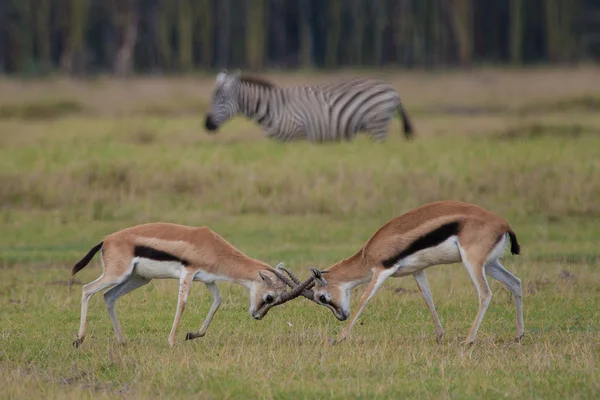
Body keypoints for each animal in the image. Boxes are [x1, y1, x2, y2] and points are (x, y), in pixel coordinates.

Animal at [205, 70, 412, 142]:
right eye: (211, 99)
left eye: (221, 100)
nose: (206, 125)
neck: (273, 109)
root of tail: (391, 87)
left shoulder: (296, 137)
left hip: (377, 124)